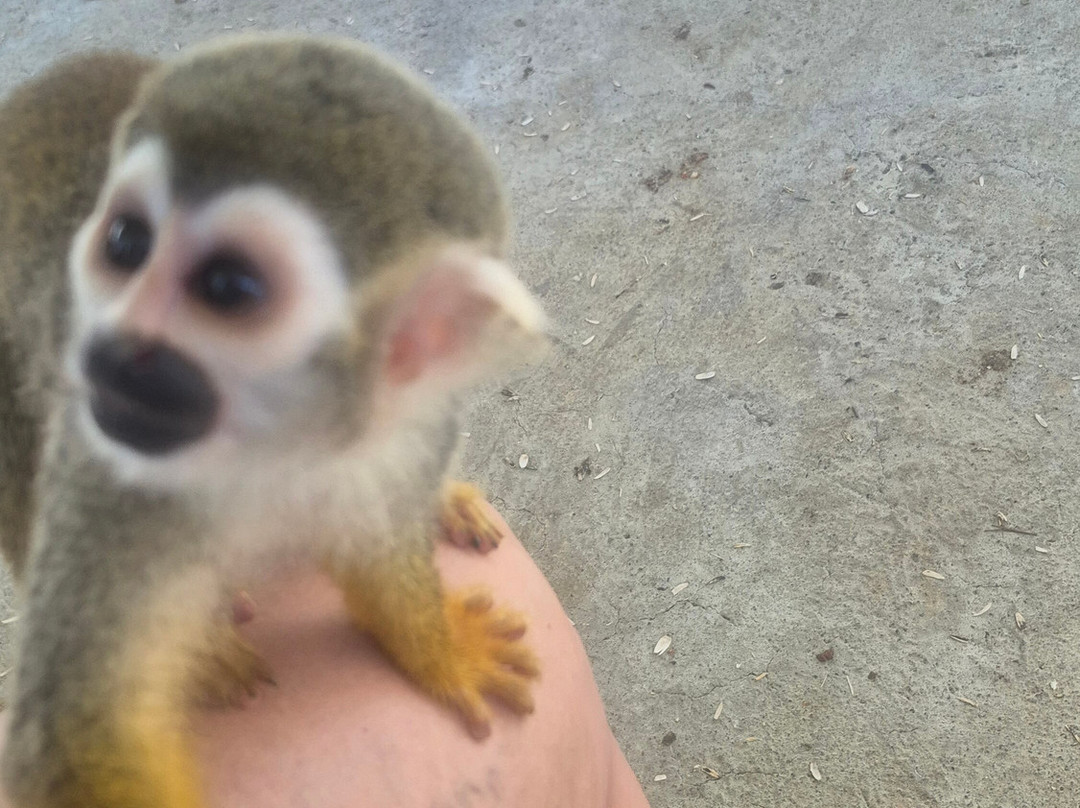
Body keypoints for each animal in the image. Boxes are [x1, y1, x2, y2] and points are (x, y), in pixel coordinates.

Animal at [0, 34, 547, 808]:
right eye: (127, 243)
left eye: (229, 288)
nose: (108, 349)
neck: (282, 448)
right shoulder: (112, 471)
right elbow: (73, 740)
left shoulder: (403, 429)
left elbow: (381, 555)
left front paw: (440, 646)